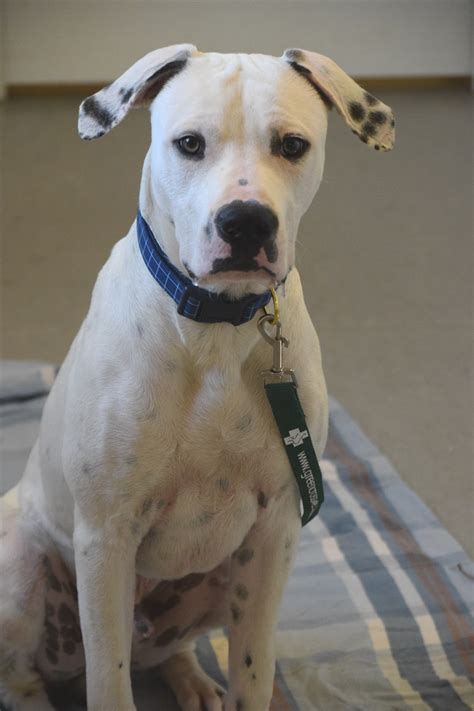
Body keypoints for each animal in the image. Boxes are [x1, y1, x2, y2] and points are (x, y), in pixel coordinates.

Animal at [0, 46, 394, 711]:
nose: (246, 222)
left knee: (167, 652)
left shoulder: (273, 533)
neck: (216, 327)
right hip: (22, 567)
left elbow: (253, 674)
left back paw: (193, 681)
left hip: (215, 582)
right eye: (189, 143)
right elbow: (110, 683)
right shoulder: (105, 537)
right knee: (21, 675)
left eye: (292, 145)